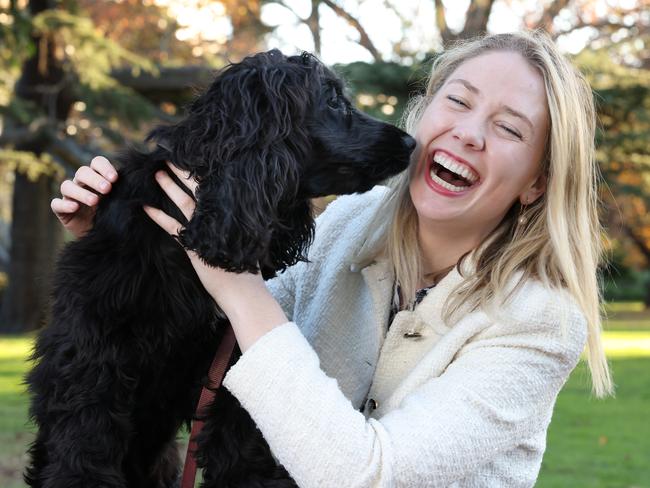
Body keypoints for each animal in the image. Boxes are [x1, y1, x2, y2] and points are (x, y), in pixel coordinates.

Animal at [26, 50, 416, 488]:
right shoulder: (92, 360)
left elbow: (241, 452)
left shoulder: (229, 369)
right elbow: (85, 447)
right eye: (332, 101)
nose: (411, 142)